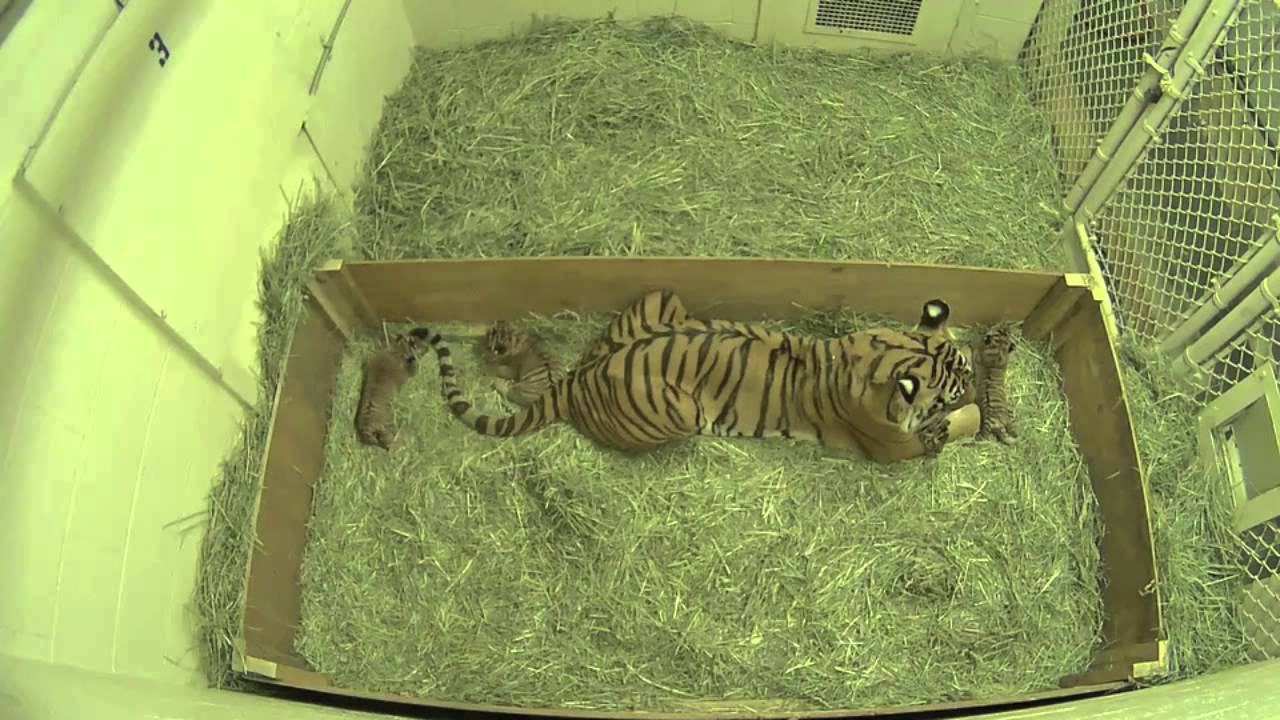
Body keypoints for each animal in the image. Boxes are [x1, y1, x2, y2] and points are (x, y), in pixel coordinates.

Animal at [410, 290, 978, 463]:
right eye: (951, 392)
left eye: (969, 368)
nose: (975, 384)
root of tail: (579, 376)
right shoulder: (894, 447)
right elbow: (953, 429)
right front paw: (976, 416)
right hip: (679, 411)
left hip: (663, 297)